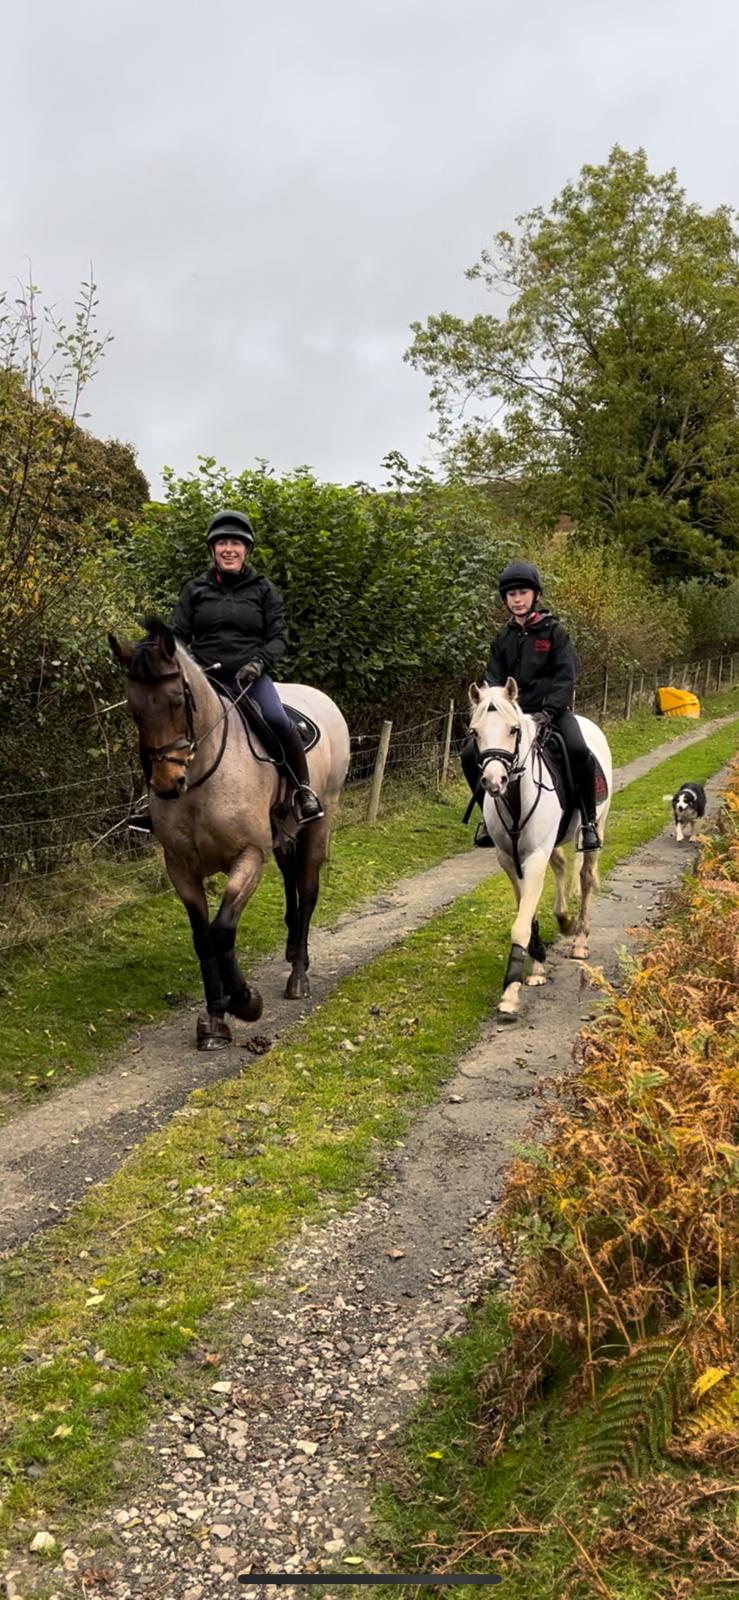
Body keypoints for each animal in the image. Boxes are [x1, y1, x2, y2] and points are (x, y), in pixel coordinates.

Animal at [109, 616, 351, 1050]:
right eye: (134, 710)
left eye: (177, 700)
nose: (168, 783)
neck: (202, 778)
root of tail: (321, 698)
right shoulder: (180, 869)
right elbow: (203, 938)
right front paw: (215, 1018)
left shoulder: (249, 857)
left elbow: (222, 931)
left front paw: (243, 1001)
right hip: (284, 835)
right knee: (291, 883)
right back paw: (293, 951)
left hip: (318, 825)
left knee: (307, 891)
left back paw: (298, 975)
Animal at [468, 677, 612, 1022]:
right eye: (475, 732)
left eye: (513, 729)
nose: (494, 781)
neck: (516, 796)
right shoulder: (510, 859)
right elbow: (527, 910)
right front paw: (536, 964)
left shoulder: (533, 858)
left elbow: (520, 924)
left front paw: (510, 993)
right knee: (560, 867)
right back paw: (563, 920)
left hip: (596, 829)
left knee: (585, 878)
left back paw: (580, 940)